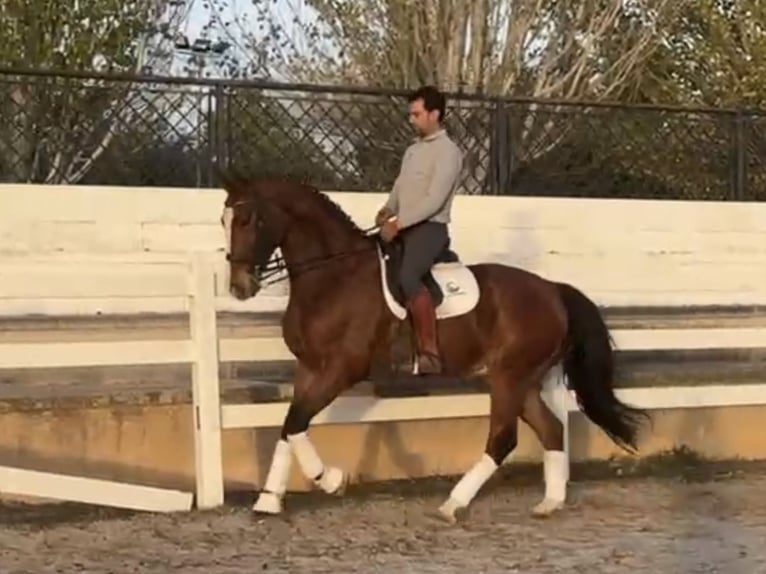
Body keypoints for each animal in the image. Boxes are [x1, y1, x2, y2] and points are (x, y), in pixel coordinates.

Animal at [219, 173, 650, 524]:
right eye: (224, 221)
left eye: (249, 220)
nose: (239, 287)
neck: (334, 277)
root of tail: (552, 290)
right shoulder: (309, 367)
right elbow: (290, 424)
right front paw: (268, 501)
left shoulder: (342, 368)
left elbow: (296, 422)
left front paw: (332, 479)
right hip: (523, 379)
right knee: (550, 429)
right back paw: (549, 503)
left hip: (509, 377)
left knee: (503, 439)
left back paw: (452, 505)